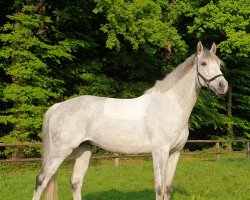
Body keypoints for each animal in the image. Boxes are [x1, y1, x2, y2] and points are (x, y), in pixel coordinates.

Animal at [31, 41, 229, 199]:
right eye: (203, 63)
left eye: (220, 64)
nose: (223, 86)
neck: (170, 105)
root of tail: (58, 107)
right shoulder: (160, 152)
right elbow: (159, 188)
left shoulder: (175, 152)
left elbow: (167, 188)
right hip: (60, 150)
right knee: (41, 180)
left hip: (84, 150)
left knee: (75, 182)